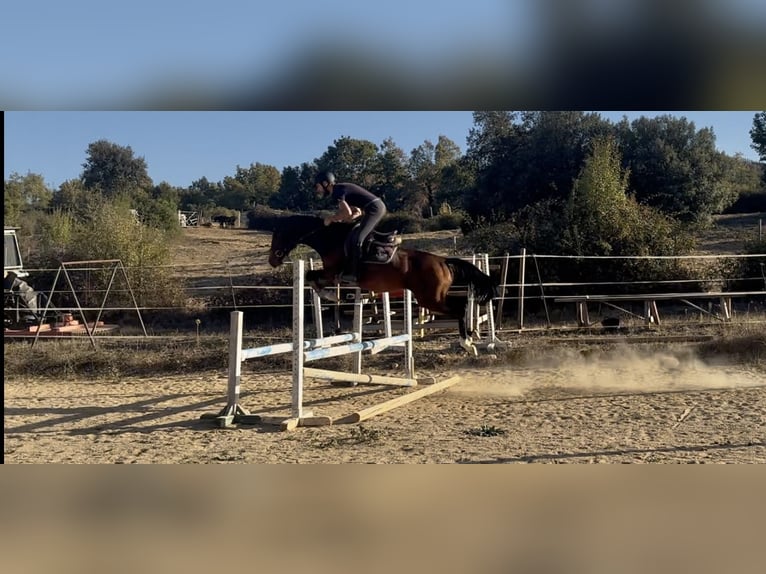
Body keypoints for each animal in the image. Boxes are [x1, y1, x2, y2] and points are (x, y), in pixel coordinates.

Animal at [267, 214, 499, 355]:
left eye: (279, 235)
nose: (272, 261)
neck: (330, 239)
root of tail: (443, 261)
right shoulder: (332, 275)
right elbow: (311, 278)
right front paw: (330, 296)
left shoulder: (333, 273)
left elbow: (310, 275)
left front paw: (331, 296)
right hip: (433, 297)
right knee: (462, 306)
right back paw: (470, 339)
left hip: (431, 299)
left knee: (460, 308)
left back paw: (467, 343)